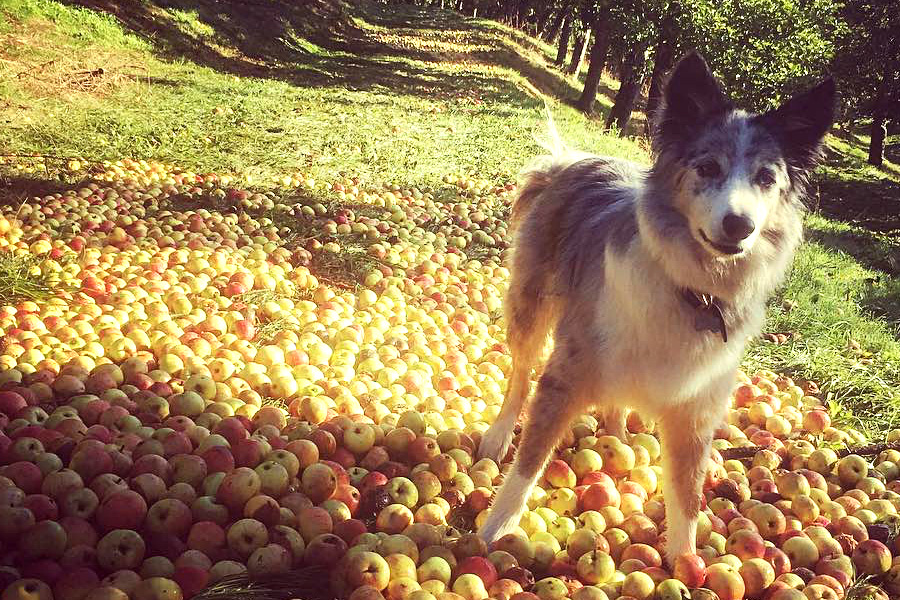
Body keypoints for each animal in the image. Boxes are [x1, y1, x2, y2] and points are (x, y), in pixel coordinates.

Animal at [474, 51, 832, 564]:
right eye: (708, 167)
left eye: (767, 179)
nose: (739, 225)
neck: (694, 289)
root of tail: (573, 161)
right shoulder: (564, 377)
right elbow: (527, 465)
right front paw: (493, 531)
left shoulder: (696, 413)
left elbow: (688, 497)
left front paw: (684, 562)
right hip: (530, 305)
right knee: (520, 375)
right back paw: (500, 433)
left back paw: (619, 436)